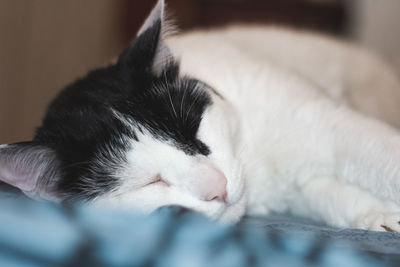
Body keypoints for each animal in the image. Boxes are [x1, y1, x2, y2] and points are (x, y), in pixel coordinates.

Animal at [0, 0, 400, 232]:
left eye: (193, 132)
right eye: (151, 182)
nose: (217, 188)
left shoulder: (326, 123)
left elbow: (383, 159)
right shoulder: (299, 182)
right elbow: (327, 194)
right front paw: (379, 215)